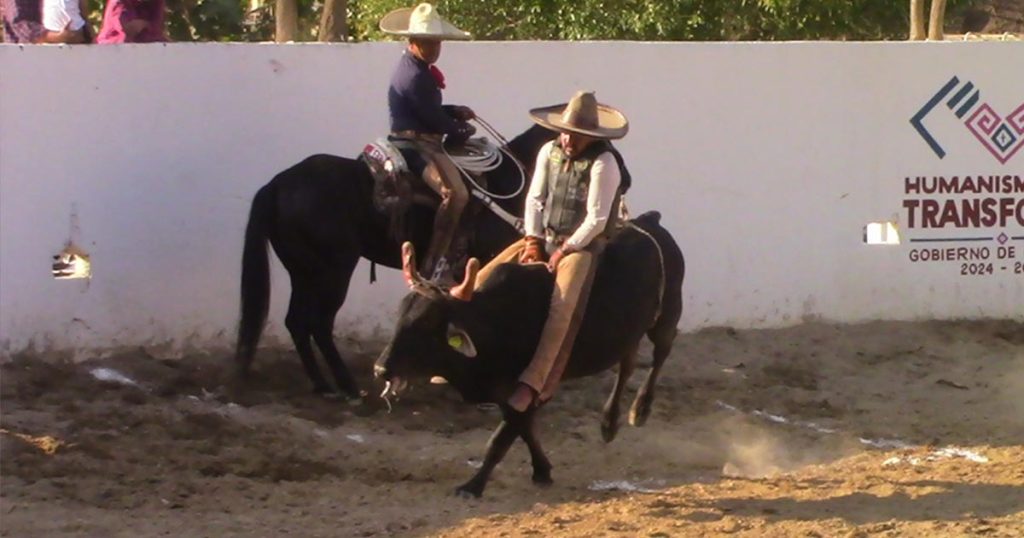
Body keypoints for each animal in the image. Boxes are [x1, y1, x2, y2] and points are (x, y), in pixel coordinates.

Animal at [234, 126, 557, 397]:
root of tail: (277, 184)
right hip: (334, 272)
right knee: (318, 323)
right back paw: (348, 387)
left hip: (302, 272)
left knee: (296, 321)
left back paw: (323, 385)